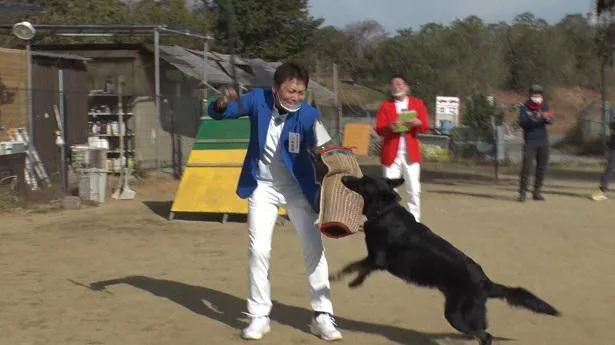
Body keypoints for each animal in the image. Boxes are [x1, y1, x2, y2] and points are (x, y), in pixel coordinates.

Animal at [332, 175, 564, 344]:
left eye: (362, 182)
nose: (344, 176)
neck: (385, 212)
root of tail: (487, 283)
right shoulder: (376, 260)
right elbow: (360, 269)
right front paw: (354, 282)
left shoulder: (377, 258)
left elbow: (353, 266)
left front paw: (336, 277)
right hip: (467, 315)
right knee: (482, 332)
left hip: (455, 315)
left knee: (485, 336)